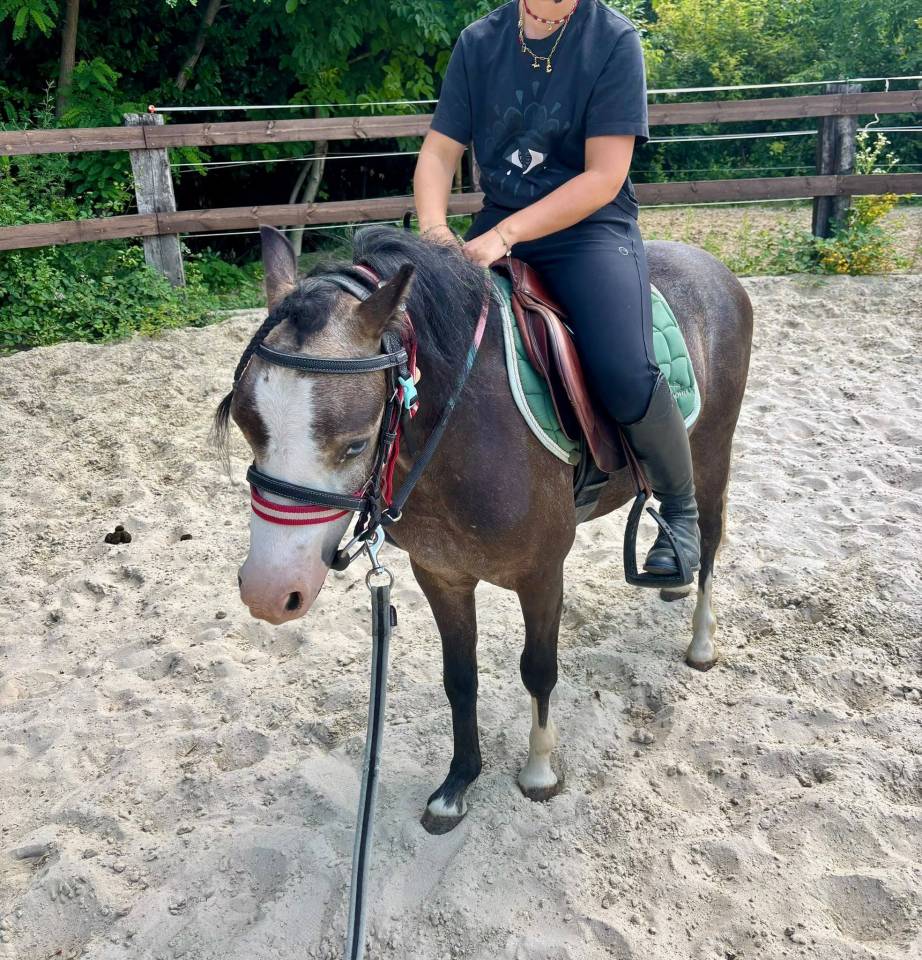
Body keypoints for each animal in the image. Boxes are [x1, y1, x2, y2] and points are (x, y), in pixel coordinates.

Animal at [213, 223, 753, 834]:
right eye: (247, 425)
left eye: (354, 443)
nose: (268, 593)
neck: (464, 427)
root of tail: (710, 264)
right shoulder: (441, 574)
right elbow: (460, 678)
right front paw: (457, 785)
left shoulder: (542, 574)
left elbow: (538, 670)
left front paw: (539, 772)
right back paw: (671, 571)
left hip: (711, 452)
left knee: (710, 535)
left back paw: (701, 638)